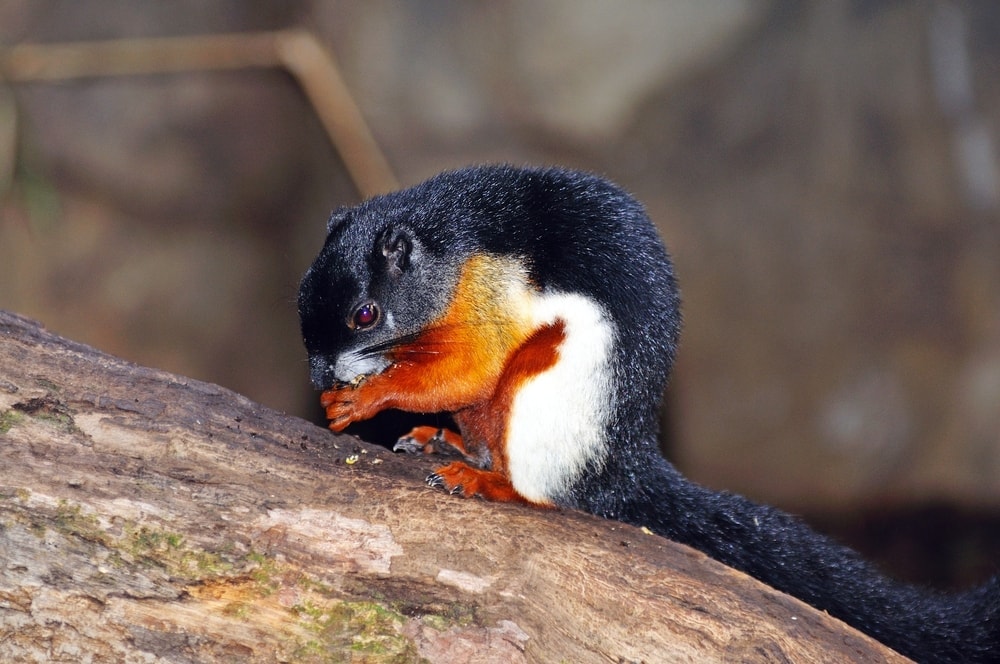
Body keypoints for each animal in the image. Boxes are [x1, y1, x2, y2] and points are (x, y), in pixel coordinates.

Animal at [298, 164, 999, 663]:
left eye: (366, 315)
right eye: (301, 297)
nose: (321, 377)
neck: (445, 241)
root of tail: (622, 467)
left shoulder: (485, 293)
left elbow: (471, 365)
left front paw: (363, 397)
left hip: (549, 402)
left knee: (538, 484)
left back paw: (487, 480)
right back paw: (449, 444)